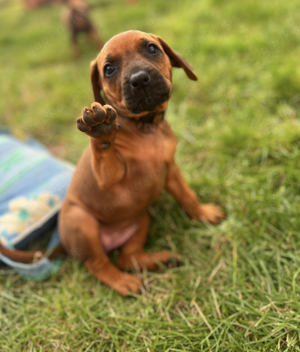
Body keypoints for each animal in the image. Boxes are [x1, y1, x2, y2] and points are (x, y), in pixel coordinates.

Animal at [57, 30, 224, 296]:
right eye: (109, 69)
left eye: (152, 48)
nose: (140, 79)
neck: (144, 128)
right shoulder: (108, 178)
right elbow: (103, 150)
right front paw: (101, 131)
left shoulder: (170, 169)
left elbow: (187, 196)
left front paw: (203, 214)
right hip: (81, 222)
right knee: (98, 264)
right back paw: (123, 282)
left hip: (141, 218)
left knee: (126, 257)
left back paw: (160, 259)